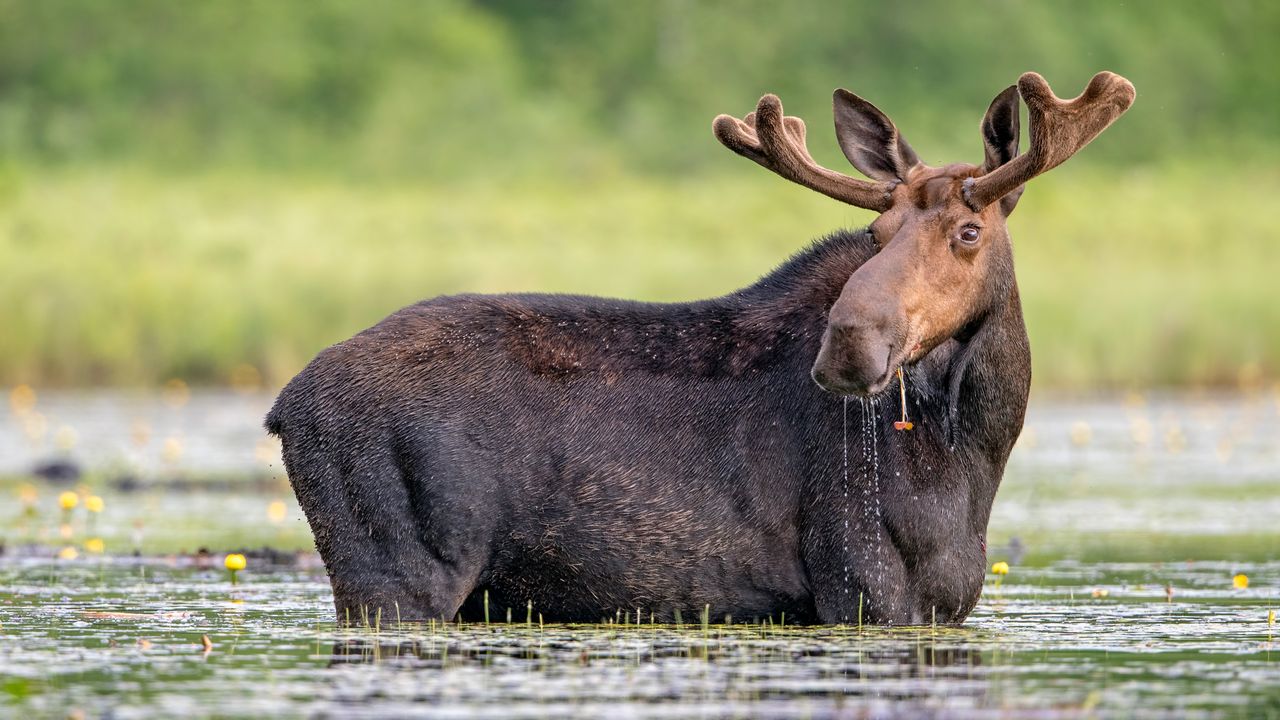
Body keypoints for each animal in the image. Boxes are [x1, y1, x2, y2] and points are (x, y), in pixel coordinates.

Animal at [266, 72, 1134, 626]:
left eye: (968, 231)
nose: (849, 345)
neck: (976, 447)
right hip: (396, 575)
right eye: (878, 232)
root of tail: (283, 408)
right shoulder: (862, 581)